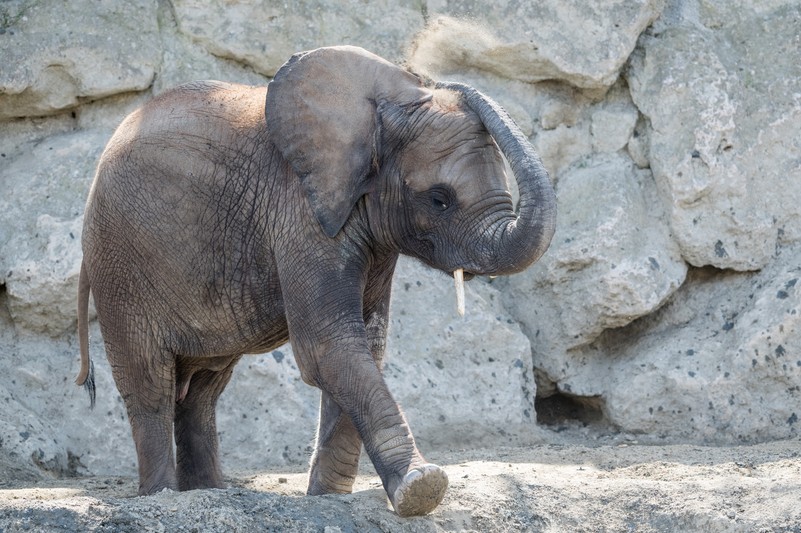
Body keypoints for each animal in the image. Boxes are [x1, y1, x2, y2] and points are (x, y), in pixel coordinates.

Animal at [75, 45, 552, 516]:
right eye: (440, 199)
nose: (444, 80)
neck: (379, 113)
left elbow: (366, 344)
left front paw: (330, 497)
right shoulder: (300, 212)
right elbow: (329, 346)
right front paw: (421, 489)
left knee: (203, 390)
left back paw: (208, 491)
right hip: (120, 264)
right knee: (150, 384)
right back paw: (162, 495)